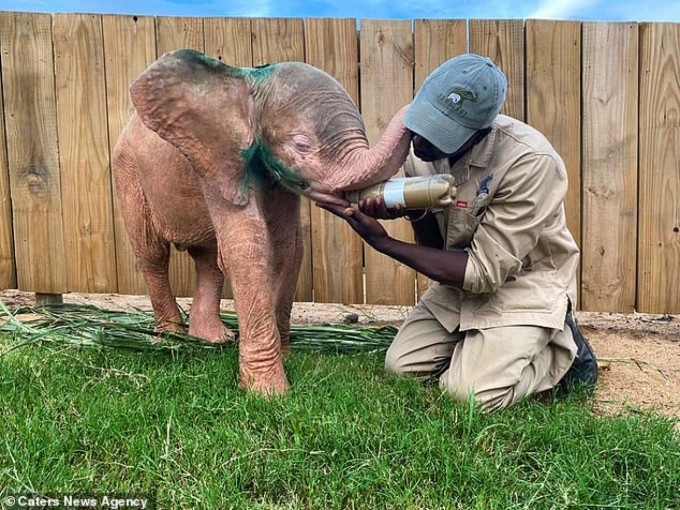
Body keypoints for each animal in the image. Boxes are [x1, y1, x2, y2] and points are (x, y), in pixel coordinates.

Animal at [112, 49, 412, 394]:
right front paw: (268, 393)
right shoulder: (216, 159)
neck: (250, 84)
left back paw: (213, 340)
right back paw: (171, 340)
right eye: (301, 145)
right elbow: (248, 244)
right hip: (127, 173)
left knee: (209, 261)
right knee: (152, 255)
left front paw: (284, 358)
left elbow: (289, 246)